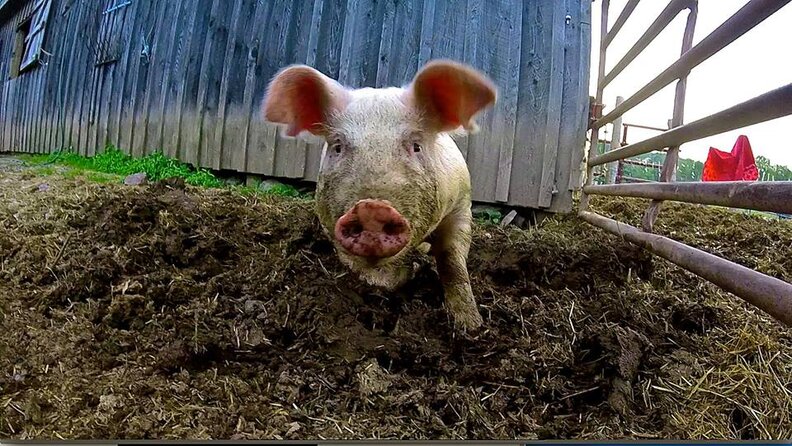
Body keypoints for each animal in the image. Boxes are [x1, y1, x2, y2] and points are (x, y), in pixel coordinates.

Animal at [263, 60, 496, 331]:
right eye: (338, 147)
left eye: (416, 146)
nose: (371, 209)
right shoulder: (328, 222)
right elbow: (360, 267)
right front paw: (408, 271)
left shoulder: (461, 205)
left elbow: (452, 259)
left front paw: (471, 325)